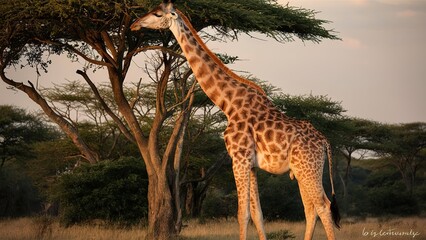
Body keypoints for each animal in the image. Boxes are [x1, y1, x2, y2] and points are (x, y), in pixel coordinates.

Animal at [131, 0, 342, 239]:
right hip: (301, 170)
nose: (134, 25)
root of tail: (325, 143)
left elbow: (243, 214)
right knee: (310, 208)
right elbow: (258, 214)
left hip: (308, 168)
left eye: (158, 14)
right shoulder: (251, 164)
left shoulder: (239, 159)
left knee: (323, 206)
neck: (229, 105)